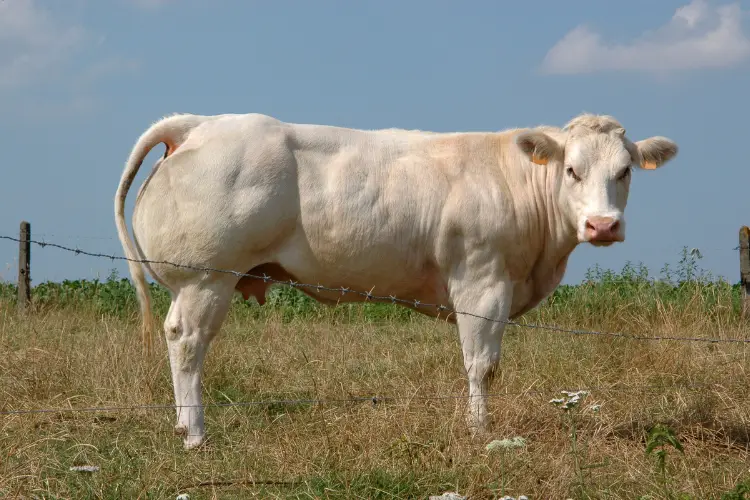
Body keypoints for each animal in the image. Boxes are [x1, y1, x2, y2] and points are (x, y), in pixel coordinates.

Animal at [113, 112, 680, 450]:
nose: (603, 225)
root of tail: (200, 124)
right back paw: (194, 433)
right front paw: (479, 430)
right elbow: (482, 365)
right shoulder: (481, 280)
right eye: (571, 170)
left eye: (625, 171)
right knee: (187, 344)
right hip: (207, 279)